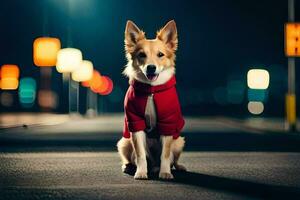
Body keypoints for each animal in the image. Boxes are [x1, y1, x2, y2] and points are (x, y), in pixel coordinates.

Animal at [116, 20, 185, 180]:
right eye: (141, 55)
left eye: (160, 55)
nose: (151, 68)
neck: (151, 90)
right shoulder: (135, 123)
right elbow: (140, 154)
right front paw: (141, 172)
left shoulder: (168, 123)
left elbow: (165, 155)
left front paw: (165, 172)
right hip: (124, 142)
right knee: (131, 158)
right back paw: (128, 166)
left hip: (179, 141)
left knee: (174, 159)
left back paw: (176, 167)